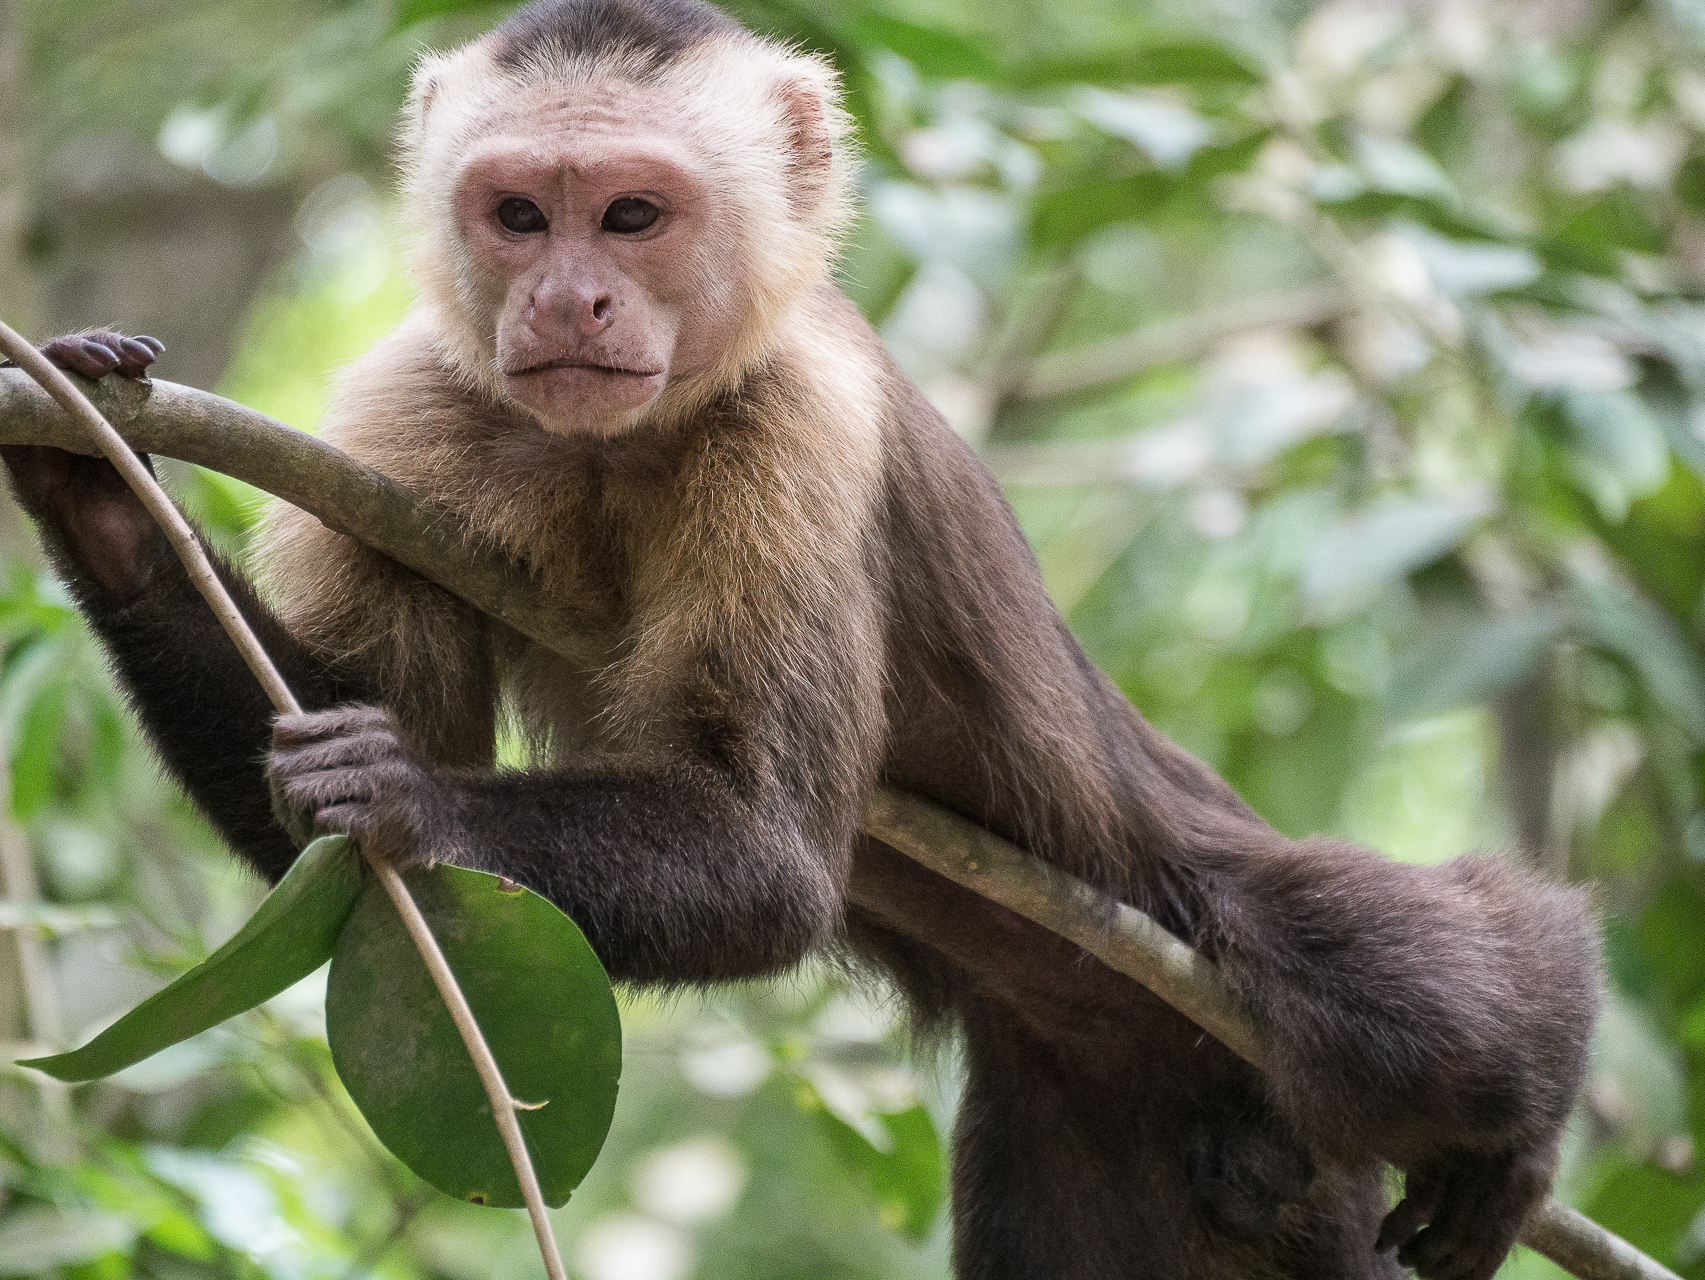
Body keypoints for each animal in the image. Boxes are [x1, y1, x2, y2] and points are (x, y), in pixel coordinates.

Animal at [3, 2, 1595, 1280]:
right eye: (518, 215)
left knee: (1391, 980)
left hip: (1186, 891)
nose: (566, 295)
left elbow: (765, 860)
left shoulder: (800, 428)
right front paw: (92, 487)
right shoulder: (408, 413)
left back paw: (1523, 1089)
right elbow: (337, 865)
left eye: (629, 218)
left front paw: (405, 795)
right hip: (1096, 1115)